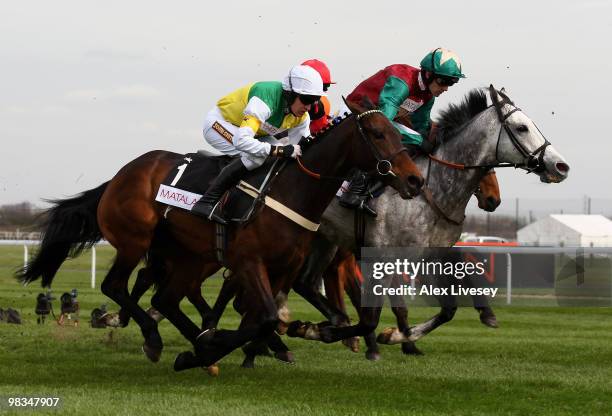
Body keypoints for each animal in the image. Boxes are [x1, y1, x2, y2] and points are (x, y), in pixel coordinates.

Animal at [15, 99, 426, 368]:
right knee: (116, 286)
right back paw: (156, 337)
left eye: (396, 132)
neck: (290, 192)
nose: (414, 180)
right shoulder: (248, 261)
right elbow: (262, 317)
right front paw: (220, 346)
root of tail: (119, 176)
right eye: (377, 133)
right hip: (136, 241)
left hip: (186, 255)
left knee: (165, 297)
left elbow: (265, 317)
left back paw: (193, 341)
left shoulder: (284, 268)